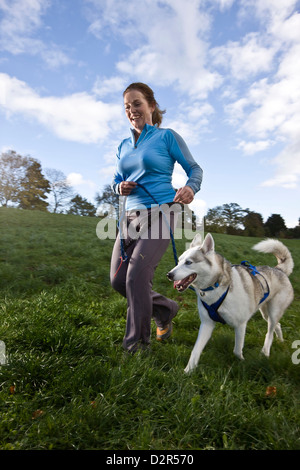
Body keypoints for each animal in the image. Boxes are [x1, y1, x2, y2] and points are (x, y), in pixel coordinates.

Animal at [168, 233, 294, 372]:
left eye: (188, 262)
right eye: (179, 261)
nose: (169, 274)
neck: (215, 287)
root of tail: (279, 270)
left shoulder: (240, 325)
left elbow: (237, 350)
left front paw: (243, 362)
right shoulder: (206, 324)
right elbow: (195, 351)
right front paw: (188, 371)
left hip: (273, 312)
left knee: (270, 332)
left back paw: (265, 352)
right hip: (265, 313)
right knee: (277, 325)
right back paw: (280, 340)